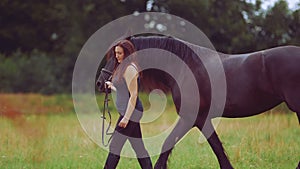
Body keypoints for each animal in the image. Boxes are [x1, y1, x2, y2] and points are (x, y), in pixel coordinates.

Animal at [96, 36, 300, 169]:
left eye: (117, 56)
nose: (100, 83)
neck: (186, 66)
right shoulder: (202, 119)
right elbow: (218, 149)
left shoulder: (189, 118)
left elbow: (167, 144)